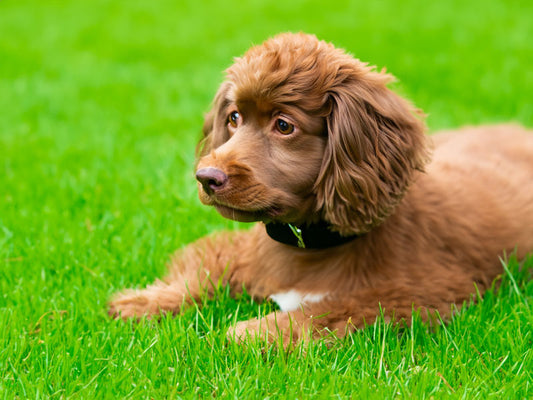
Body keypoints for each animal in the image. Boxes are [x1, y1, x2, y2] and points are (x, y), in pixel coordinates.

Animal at [108, 32, 532, 342]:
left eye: (284, 125)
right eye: (234, 118)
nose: (206, 178)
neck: (306, 245)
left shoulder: (418, 292)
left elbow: (326, 310)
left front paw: (253, 331)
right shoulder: (238, 250)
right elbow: (202, 270)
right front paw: (144, 301)